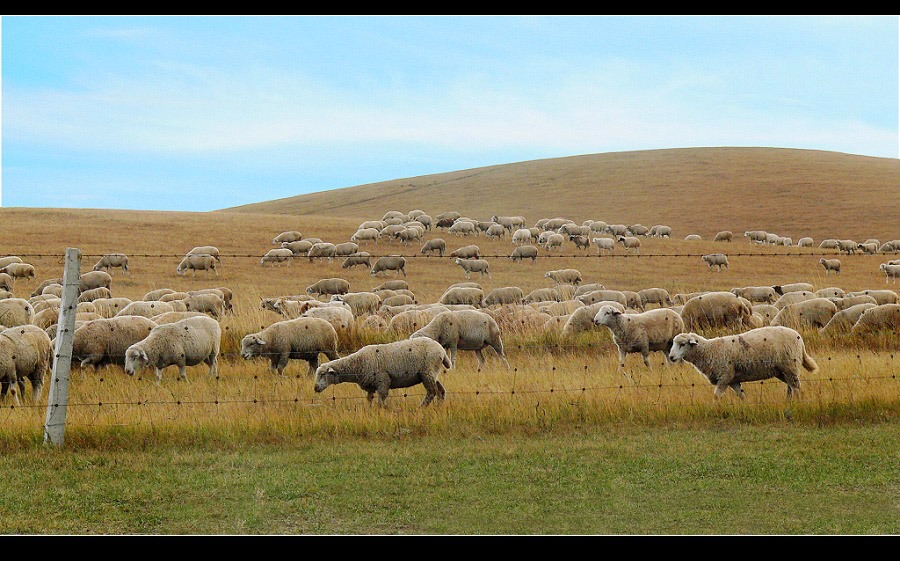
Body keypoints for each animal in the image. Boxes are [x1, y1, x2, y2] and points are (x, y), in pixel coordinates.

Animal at [312, 334, 450, 404]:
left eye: (322, 374)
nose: (315, 388)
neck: (357, 363)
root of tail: (441, 350)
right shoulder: (370, 385)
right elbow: (369, 400)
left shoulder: (383, 381)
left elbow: (381, 400)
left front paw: (382, 412)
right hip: (431, 373)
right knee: (441, 391)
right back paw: (438, 406)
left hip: (427, 372)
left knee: (432, 392)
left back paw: (421, 407)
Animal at [664, 324, 820, 398]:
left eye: (682, 344)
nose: (671, 357)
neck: (709, 350)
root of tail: (799, 337)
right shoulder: (732, 380)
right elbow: (741, 395)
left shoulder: (724, 377)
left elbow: (716, 396)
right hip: (782, 371)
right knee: (791, 387)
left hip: (790, 366)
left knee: (796, 387)